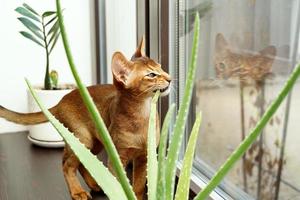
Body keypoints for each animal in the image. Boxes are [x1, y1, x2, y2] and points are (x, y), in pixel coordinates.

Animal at [0, 37, 171, 200]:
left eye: (160, 67)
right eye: (151, 75)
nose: (170, 78)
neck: (143, 115)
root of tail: (61, 101)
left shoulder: (144, 156)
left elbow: (139, 186)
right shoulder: (118, 157)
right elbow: (119, 185)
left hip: (96, 141)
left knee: (83, 162)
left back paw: (96, 185)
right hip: (82, 137)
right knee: (67, 164)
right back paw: (77, 192)